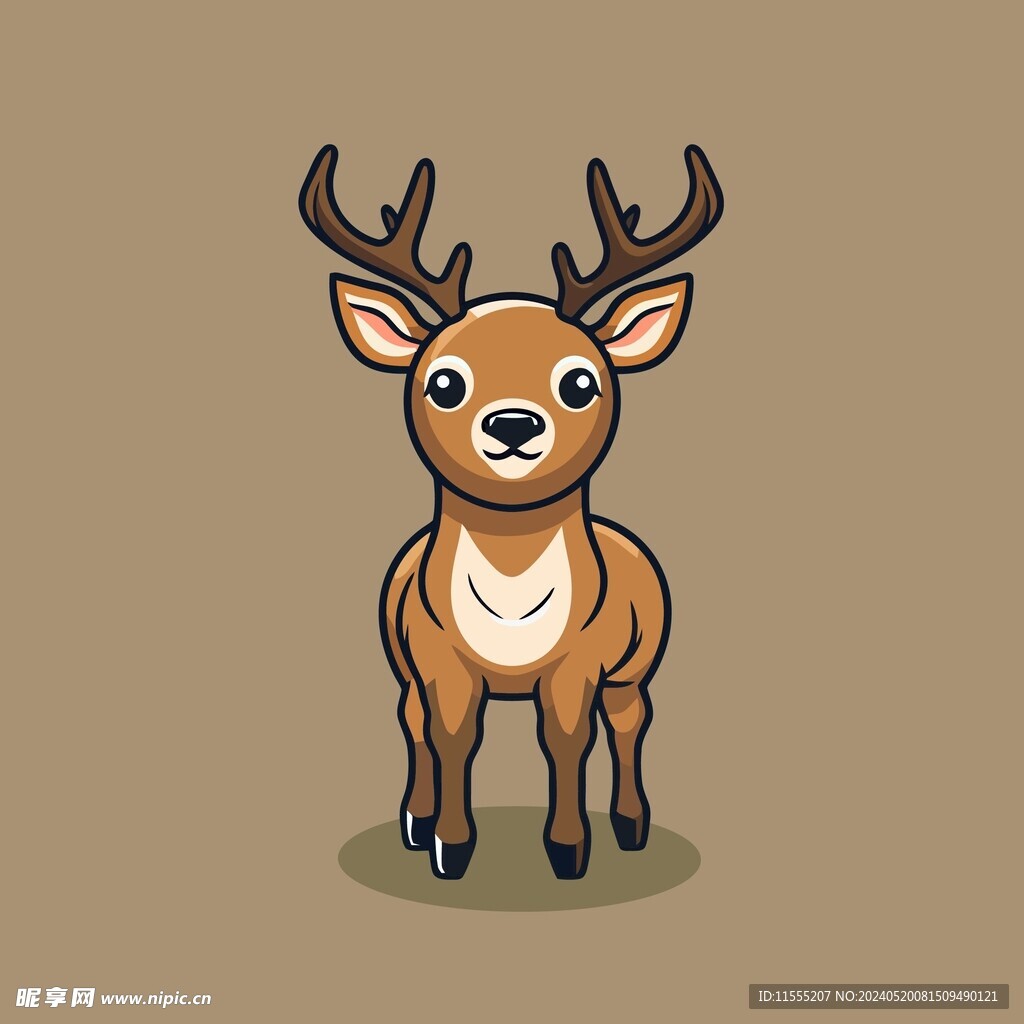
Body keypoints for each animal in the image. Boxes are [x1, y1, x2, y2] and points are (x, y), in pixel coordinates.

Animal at [299, 143, 723, 879]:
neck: (512, 610)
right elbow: (451, 735)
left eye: (580, 380)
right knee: (409, 718)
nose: (514, 425)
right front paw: (449, 843)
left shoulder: (581, 663)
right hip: (399, 659)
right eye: (444, 381)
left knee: (630, 719)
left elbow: (567, 737)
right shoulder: (437, 658)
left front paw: (569, 848)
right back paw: (414, 818)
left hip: (638, 662)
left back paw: (631, 823)